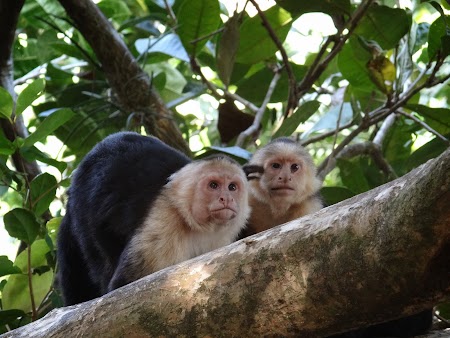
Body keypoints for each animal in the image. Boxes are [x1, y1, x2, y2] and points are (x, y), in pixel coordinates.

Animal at [56, 133, 250, 306]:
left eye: (232, 187)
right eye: (213, 185)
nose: (226, 199)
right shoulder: (162, 226)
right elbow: (123, 287)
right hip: (82, 206)